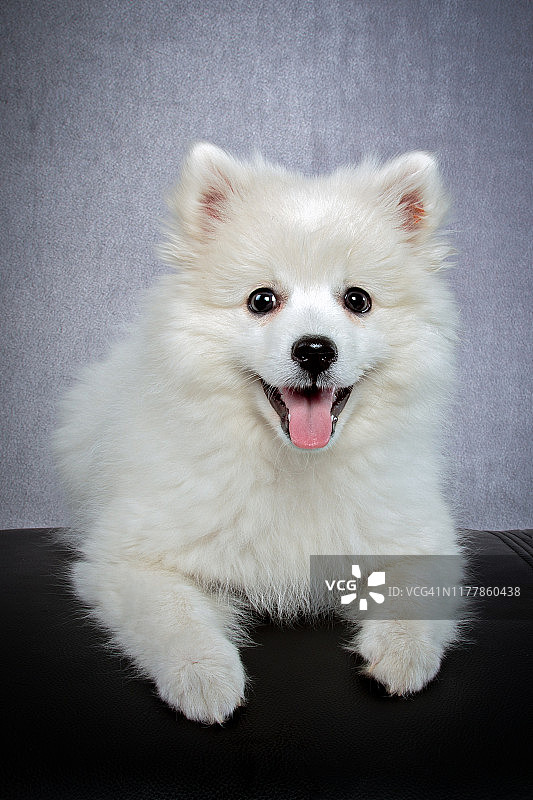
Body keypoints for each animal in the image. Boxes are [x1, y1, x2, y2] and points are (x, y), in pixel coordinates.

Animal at [54, 144, 462, 724]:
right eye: (262, 300)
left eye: (357, 300)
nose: (314, 349)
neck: (295, 463)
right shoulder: (128, 558)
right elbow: (175, 617)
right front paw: (205, 675)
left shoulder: (420, 535)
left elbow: (414, 597)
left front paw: (402, 656)